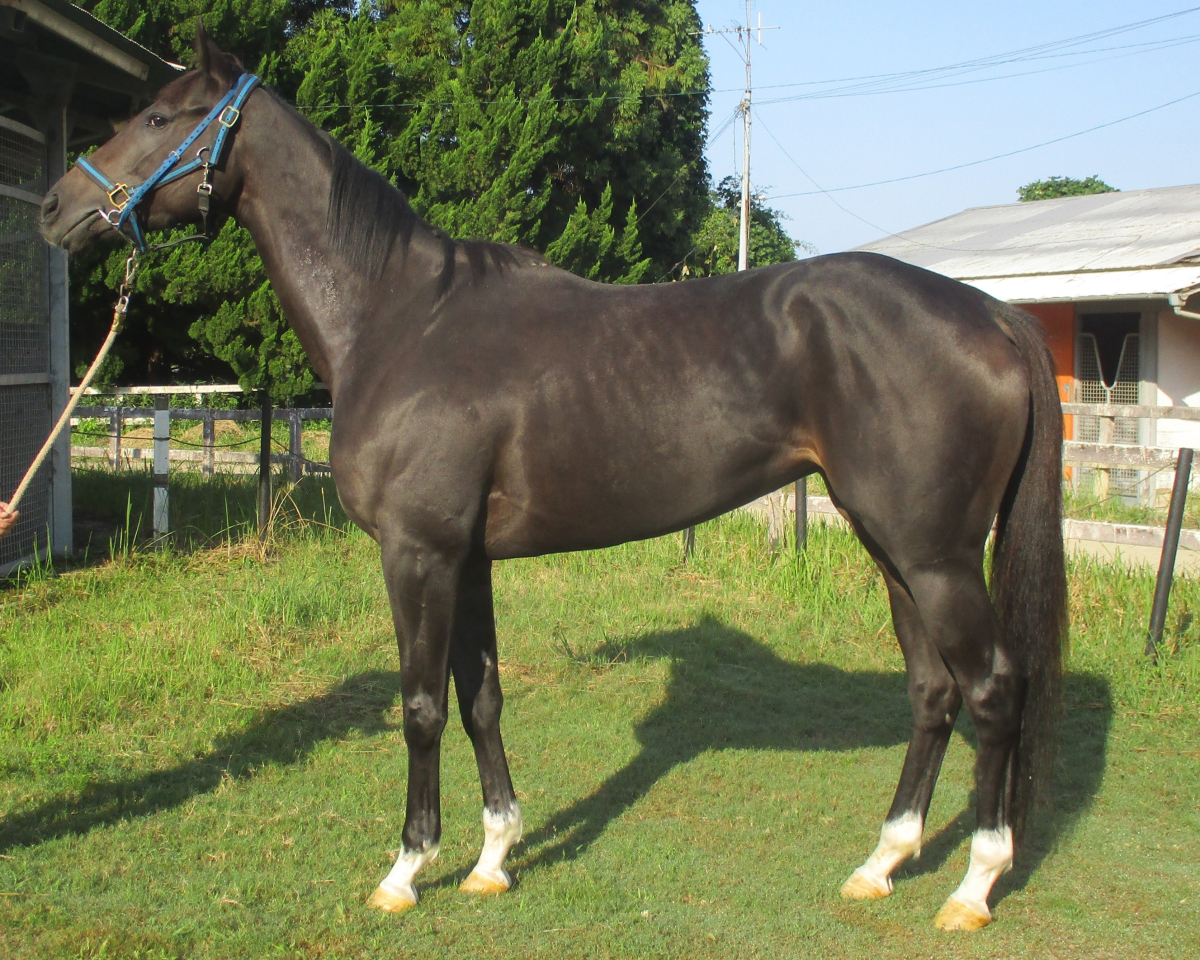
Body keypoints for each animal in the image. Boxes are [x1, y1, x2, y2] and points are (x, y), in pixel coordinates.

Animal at [39, 24, 1066, 931]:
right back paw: (882, 863)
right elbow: (480, 697)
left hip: (932, 556)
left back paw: (972, 887)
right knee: (932, 692)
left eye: (162, 116)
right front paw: (494, 858)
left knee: (992, 691)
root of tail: (990, 313)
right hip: (892, 546)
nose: (54, 208)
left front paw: (406, 869)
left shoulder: (418, 554)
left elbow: (419, 707)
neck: (401, 320)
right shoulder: (467, 561)